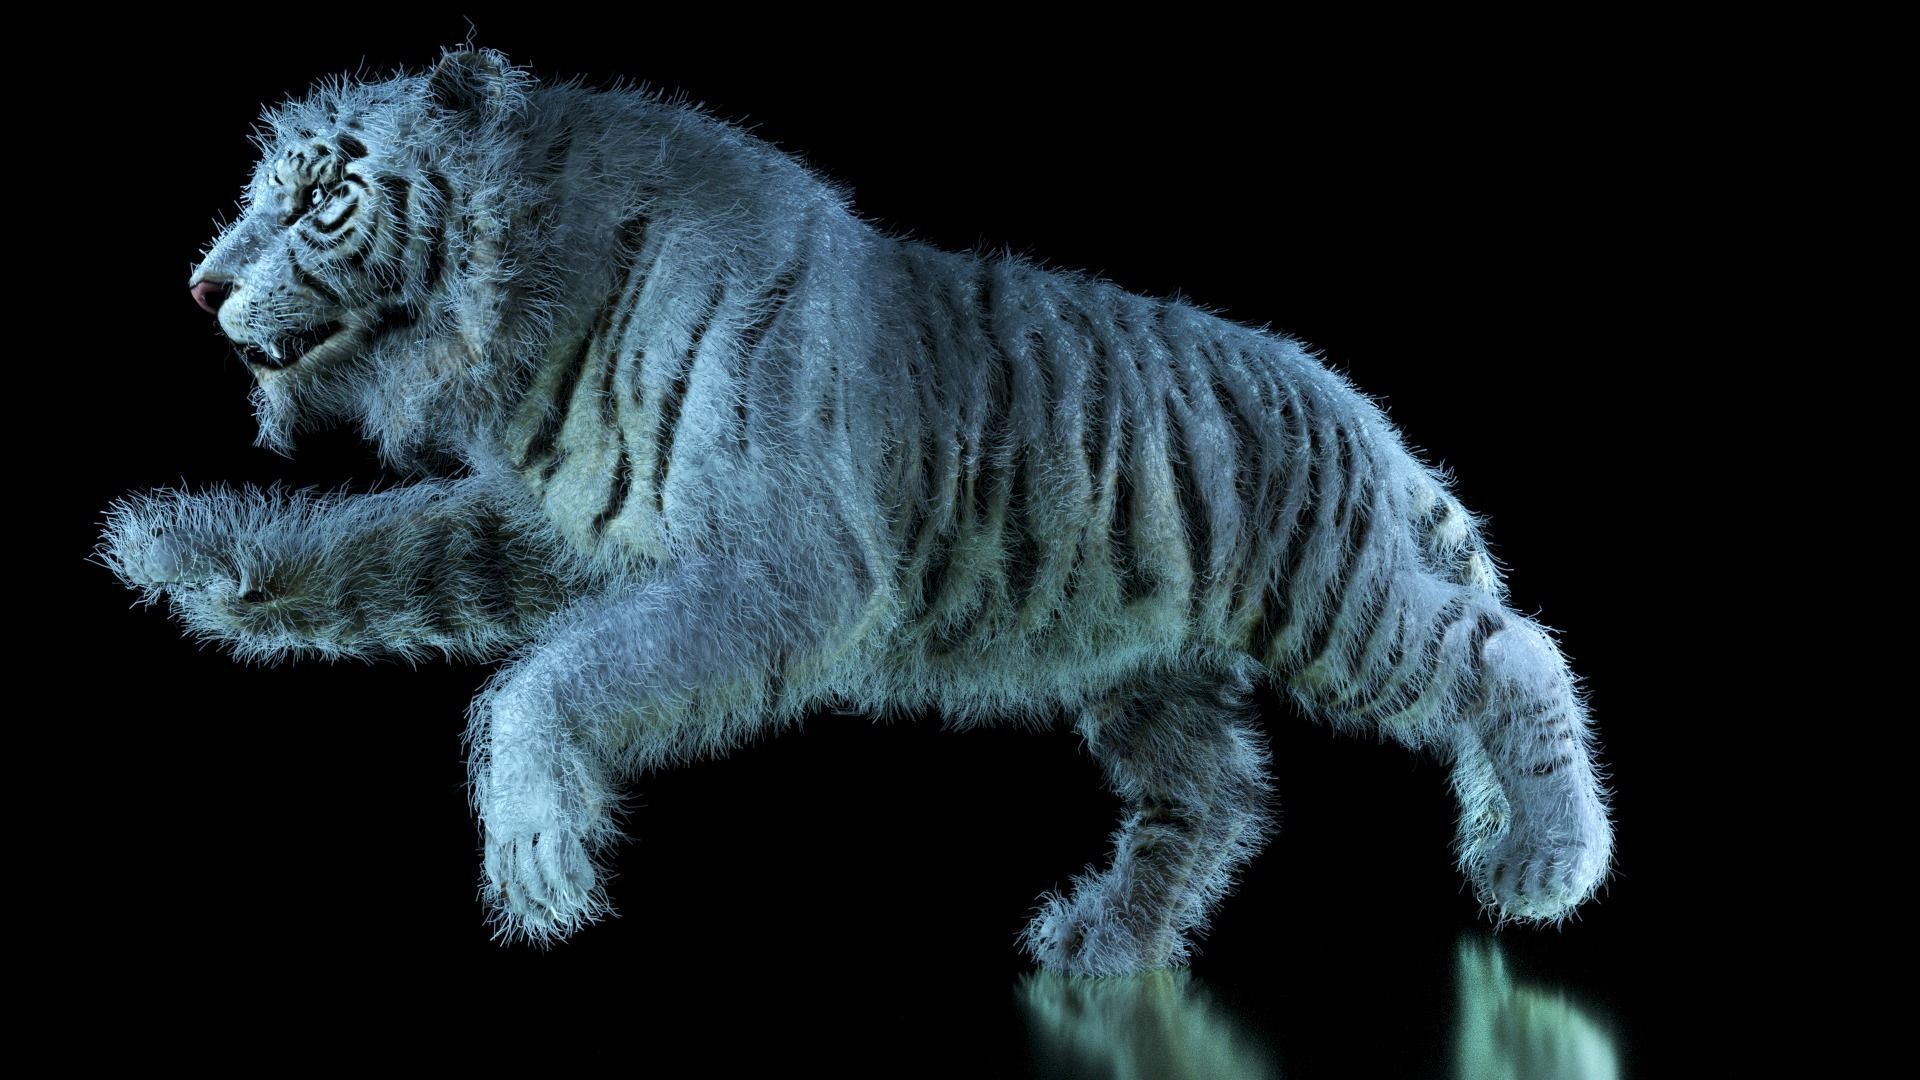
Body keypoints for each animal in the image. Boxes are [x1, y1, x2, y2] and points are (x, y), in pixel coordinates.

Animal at [98, 45, 1615, 975]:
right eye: (255, 193)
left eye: (324, 197)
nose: (200, 284)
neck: (529, 315)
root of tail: (1363, 416)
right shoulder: (558, 529)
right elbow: (390, 545)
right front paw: (190, 551)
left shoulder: (786, 568)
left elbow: (543, 684)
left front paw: (535, 860)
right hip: (1145, 671)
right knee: (1215, 799)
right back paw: (1105, 944)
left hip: (1332, 603)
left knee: (1508, 651)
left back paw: (1546, 861)